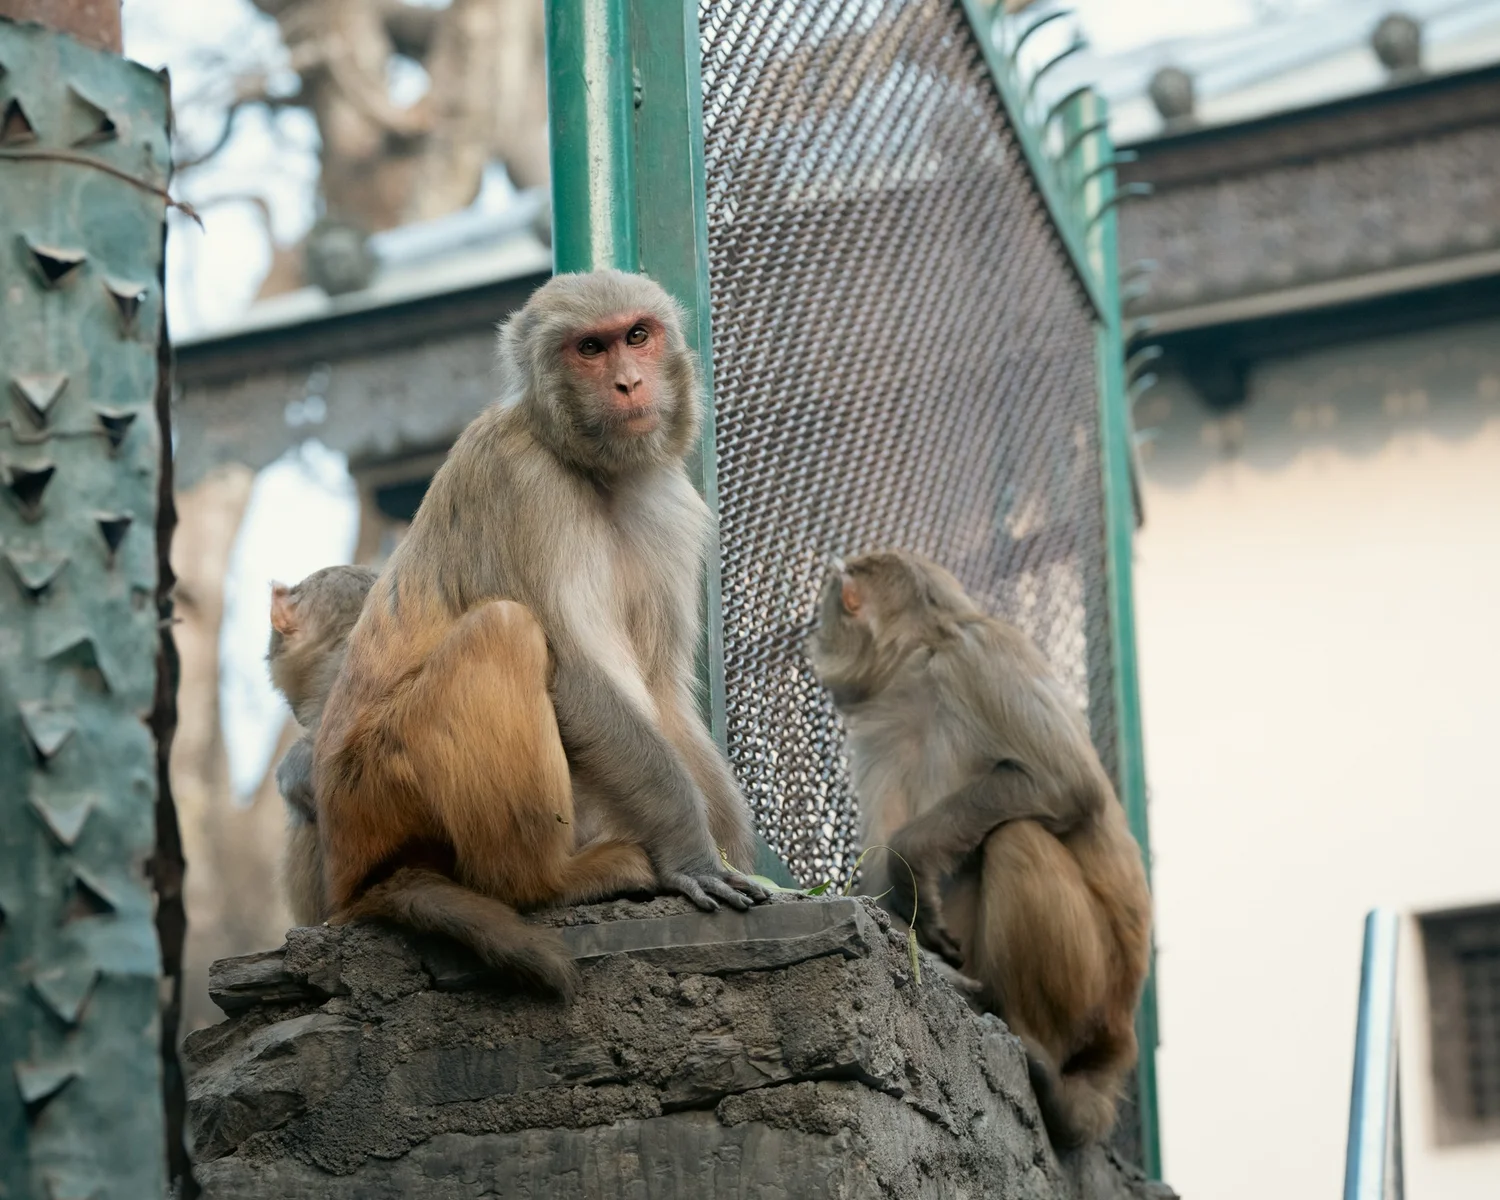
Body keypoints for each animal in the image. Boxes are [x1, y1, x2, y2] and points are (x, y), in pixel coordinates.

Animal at [314, 269, 767, 999]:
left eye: (637, 336)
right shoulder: (521, 482)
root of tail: (350, 881)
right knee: (504, 630)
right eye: (590, 348)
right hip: (380, 789)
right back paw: (548, 883)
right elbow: (576, 674)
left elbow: (662, 686)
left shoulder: (663, 500)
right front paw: (691, 849)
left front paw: (733, 850)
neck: (591, 470)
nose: (628, 384)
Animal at [808, 549, 1152, 1150]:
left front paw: (913, 857)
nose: (816, 637)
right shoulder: (887, 723)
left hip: (1090, 991)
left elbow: (1064, 783)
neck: (922, 662)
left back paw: (1027, 1045)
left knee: (1017, 836)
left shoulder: (977, 654)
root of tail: (1119, 1036)